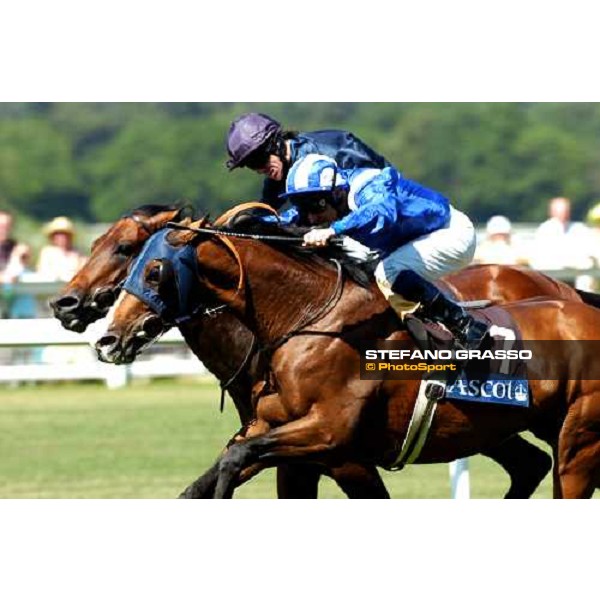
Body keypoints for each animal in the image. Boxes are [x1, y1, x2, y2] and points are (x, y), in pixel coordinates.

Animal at [52, 204, 592, 500]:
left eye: (139, 258)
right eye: (98, 244)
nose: (66, 305)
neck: (303, 319)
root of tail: (569, 291)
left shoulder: (336, 447)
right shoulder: (281, 443)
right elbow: (208, 479)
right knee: (530, 465)